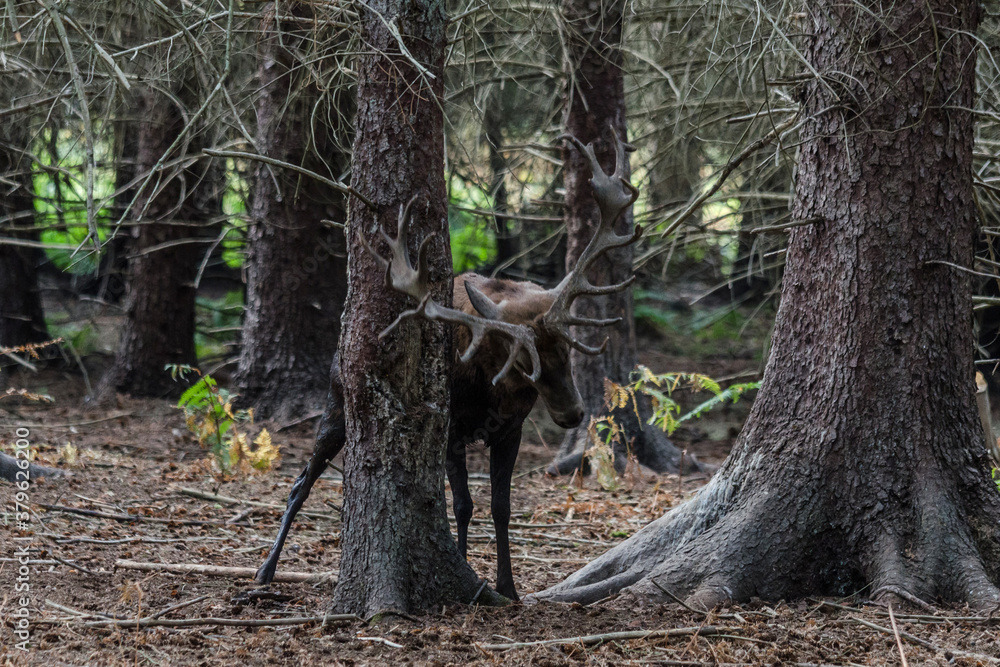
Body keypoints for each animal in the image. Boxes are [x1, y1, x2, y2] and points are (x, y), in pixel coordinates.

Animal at [254, 130, 641, 601]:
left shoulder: (510, 429)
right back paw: (265, 569)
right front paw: (468, 572)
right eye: (522, 360)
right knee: (300, 481)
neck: (491, 391)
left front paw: (508, 587)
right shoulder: (453, 426)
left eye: (566, 349)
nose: (572, 414)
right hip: (337, 400)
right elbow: (462, 505)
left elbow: (500, 506)